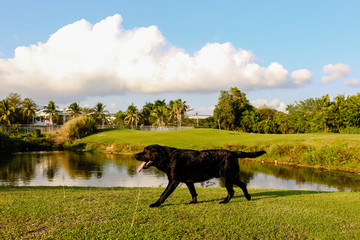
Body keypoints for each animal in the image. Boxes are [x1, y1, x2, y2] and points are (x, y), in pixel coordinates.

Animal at [134, 144, 264, 208]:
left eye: (146, 151)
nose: (135, 155)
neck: (168, 158)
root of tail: (232, 152)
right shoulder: (188, 181)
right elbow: (193, 192)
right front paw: (193, 202)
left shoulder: (173, 181)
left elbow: (163, 194)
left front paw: (156, 204)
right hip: (231, 176)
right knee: (243, 184)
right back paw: (248, 197)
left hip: (226, 177)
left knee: (231, 191)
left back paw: (224, 202)